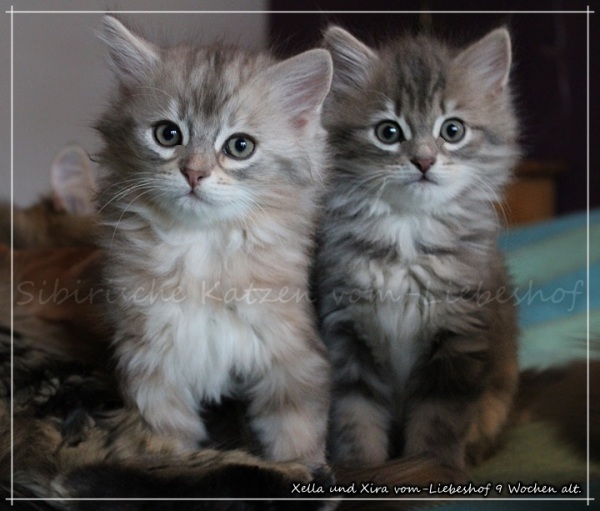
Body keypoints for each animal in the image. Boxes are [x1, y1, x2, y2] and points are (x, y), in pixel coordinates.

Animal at [95, 15, 333, 467]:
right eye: (168, 135)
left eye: (240, 146)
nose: (194, 173)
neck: (202, 249)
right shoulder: (151, 365)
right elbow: (167, 444)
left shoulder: (288, 354)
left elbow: (296, 436)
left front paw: (305, 469)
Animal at [316, 26, 520, 474]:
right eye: (388, 132)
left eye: (453, 131)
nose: (424, 161)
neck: (406, 236)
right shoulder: (345, 335)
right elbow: (355, 419)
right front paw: (361, 471)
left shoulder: (458, 341)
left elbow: (437, 425)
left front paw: (432, 472)